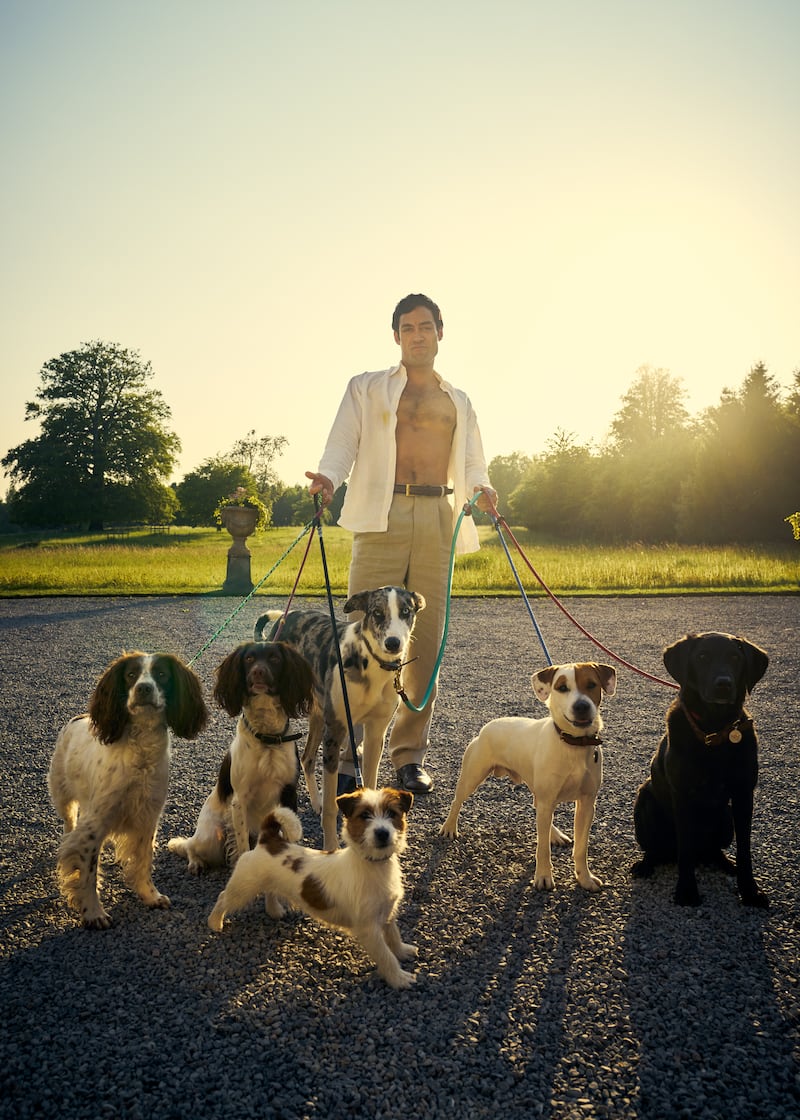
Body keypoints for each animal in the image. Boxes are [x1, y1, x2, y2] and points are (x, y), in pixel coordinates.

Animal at [206, 788, 416, 990]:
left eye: (392, 813)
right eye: (364, 815)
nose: (382, 833)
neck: (373, 864)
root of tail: (268, 840)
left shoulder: (387, 912)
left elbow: (393, 936)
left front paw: (403, 951)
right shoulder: (369, 929)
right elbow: (385, 956)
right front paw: (399, 978)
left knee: (269, 891)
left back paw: (274, 910)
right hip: (243, 887)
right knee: (223, 897)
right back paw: (215, 923)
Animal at [436, 663, 618, 891]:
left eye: (592, 684)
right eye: (562, 688)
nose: (581, 706)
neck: (573, 744)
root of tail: (488, 726)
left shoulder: (586, 804)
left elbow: (581, 848)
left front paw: (584, 878)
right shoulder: (550, 800)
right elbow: (542, 849)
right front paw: (543, 877)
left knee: (538, 808)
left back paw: (554, 834)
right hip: (472, 777)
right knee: (457, 801)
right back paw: (449, 827)